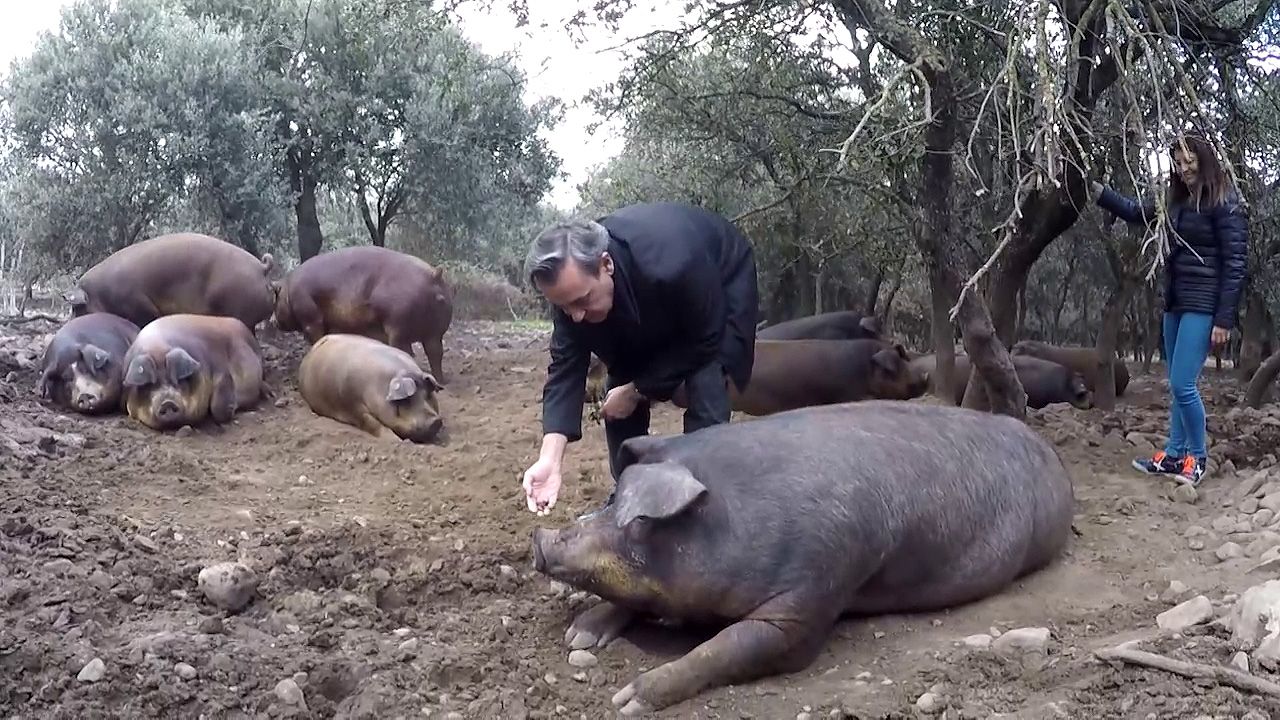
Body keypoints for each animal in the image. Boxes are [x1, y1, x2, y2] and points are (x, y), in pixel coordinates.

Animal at [66, 232, 275, 333]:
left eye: (77, 308)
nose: (68, 324)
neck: (102, 294)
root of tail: (261, 267)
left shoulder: (136, 302)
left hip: (239, 309)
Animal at [122, 313, 265, 431]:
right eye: (149, 385)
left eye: (178, 380)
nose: (167, 403)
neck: (157, 348)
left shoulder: (221, 370)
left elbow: (218, 407)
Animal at [272, 245, 454, 382]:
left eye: (276, 298)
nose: (272, 321)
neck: (288, 290)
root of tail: (433, 276)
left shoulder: (311, 319)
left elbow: (315, 337)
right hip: (435, 331)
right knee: (435, 352)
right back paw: (441, 380)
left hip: (398, 326)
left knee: (406, 351)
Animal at [298, 333, 444, 442]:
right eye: (406, 400)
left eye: (428, 395)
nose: (435, 421)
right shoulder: (353, 406)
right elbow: (372, 423)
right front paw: (395, 440)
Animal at [532, 400, 1075, 715]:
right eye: (610, 497)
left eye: (641, 521)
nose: (540, 537)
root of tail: (1051, 453)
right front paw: (577, 636)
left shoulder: (814, 592)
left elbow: (729, 646)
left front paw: (627, 700)